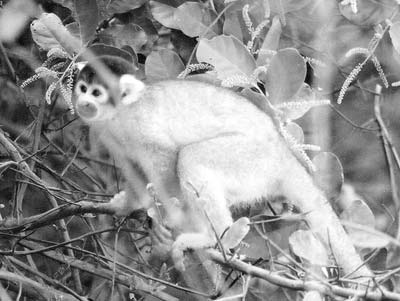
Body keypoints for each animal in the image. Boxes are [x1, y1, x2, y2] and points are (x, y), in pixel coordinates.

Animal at [74, 57, 368, 276]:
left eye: (97, 93)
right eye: (82, 88)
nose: (84, 103)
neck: (118, 114)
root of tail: (283, 153)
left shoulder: (140, 123)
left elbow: (166, 157)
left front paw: (165, 216)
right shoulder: (109, 133)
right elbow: (133, 169)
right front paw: (127, 203)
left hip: (251, 159)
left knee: (190, 156)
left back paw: (210, 236)